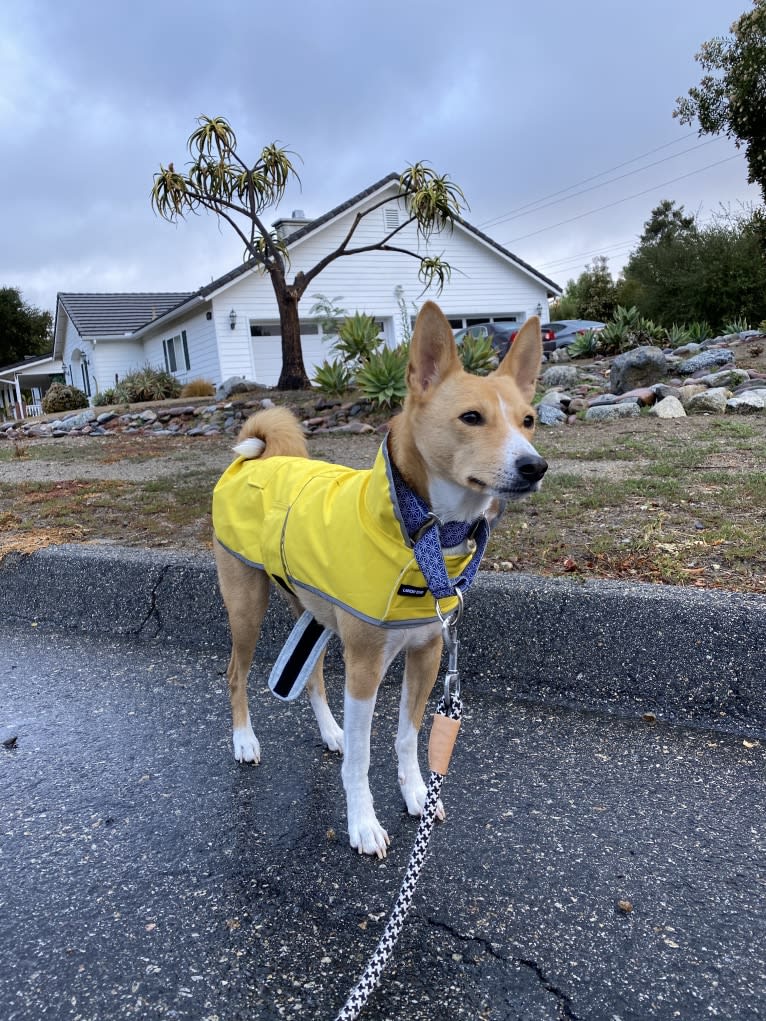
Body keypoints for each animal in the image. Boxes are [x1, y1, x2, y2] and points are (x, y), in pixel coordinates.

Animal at [213, 300, 547, 853]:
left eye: (528, 421)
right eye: (471, 418)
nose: (534, 466)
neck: (423, 534)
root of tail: (253, 458)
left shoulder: (428, 654)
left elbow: (409, 738)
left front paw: (417, 795)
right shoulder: (366, 665)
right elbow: (362, 756)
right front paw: (363, 822)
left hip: (314, 611)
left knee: (312, 678)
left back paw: (330, 732)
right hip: (246, 608)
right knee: (236, 674)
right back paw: (244, 740)